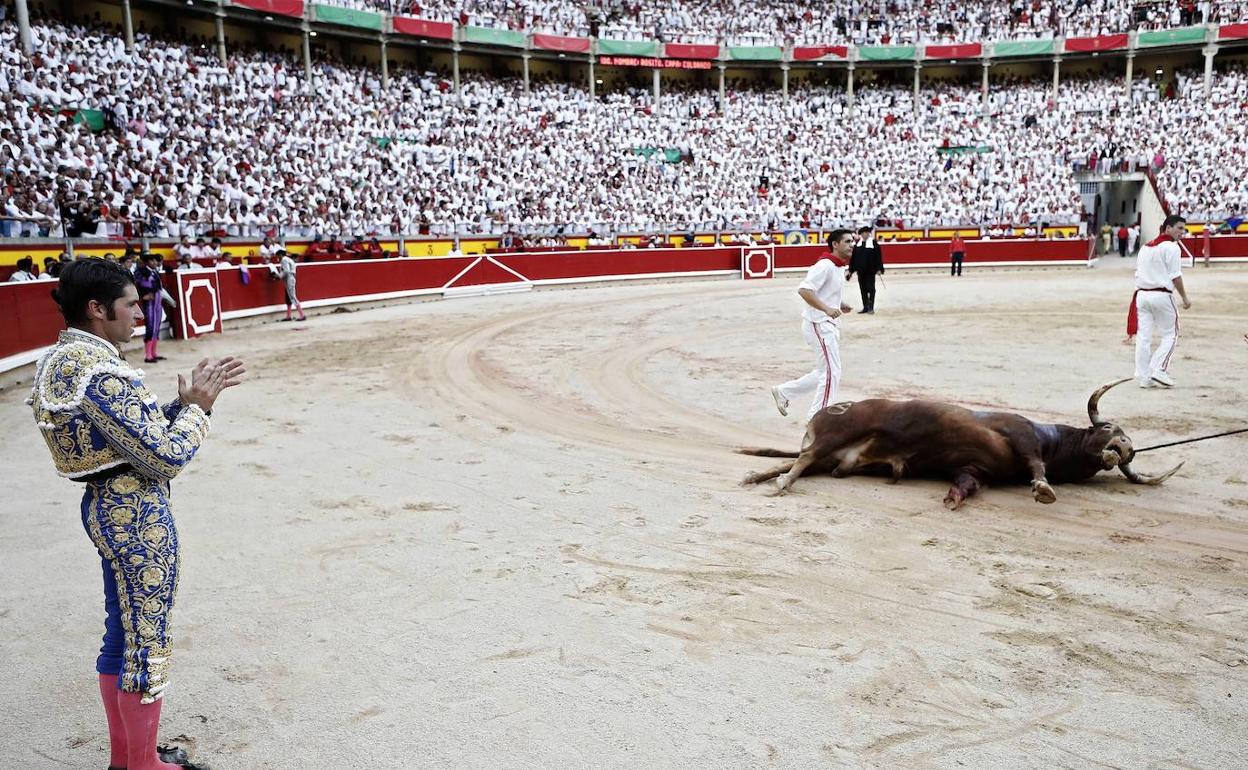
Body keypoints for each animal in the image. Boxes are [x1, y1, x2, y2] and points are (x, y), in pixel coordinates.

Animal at [738, 379, 1178, 511]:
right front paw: (1044, 490)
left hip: (834, 455)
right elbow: (1036, 466)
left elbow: (967, 484)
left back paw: (756, 475)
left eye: (1130, 448)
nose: (1123, 449)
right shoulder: (1021, 435)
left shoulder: (973, 469)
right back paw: (780, 484)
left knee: (795, 461)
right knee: (802, 458)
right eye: (1111, 430)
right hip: (836, 434)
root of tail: (828, 410)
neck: (1055, 443)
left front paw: (953, 498)